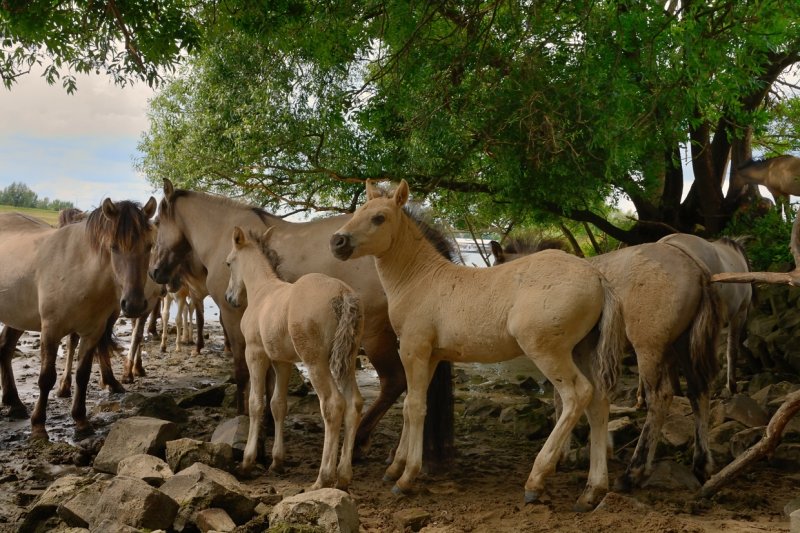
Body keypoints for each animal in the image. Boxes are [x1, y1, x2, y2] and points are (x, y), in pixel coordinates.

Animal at [0, 197, 155, 438]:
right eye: (113, 247)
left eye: (149, 246)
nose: (134, 304)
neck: (78, 270)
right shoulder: (51, 331)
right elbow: (46, 378)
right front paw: (39, 425)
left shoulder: (92, 332)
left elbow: (83, 374)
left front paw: (81, 421)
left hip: (17, 315)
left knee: (5, 348)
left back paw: (14, 403)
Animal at [223, 227, 364, 488]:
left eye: (228, 263)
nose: (230, 298)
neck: (262, 291)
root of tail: (343, 294)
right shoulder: (282, 361)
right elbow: (278, 404)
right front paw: (277, 462)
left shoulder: (255, 353)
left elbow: (256, 403)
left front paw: (247, 463)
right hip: (347, 360)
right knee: (354, 404)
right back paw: (343, 476)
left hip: (316, 361)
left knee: (333, 404)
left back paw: (323, 478)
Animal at [328, 180, 628, 512]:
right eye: (358, 212)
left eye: (379, 218)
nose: (337, 242)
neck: (419, 279)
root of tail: (599, 278)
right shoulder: (431, 356)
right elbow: (411, 405)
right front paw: (395, 468)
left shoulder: (414, 349)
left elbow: (415, 407)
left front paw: (405, 479)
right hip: (583, 350)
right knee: (599, 402)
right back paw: (592, 491)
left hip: (548, 351)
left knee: (577, 396)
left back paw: (536, 481)